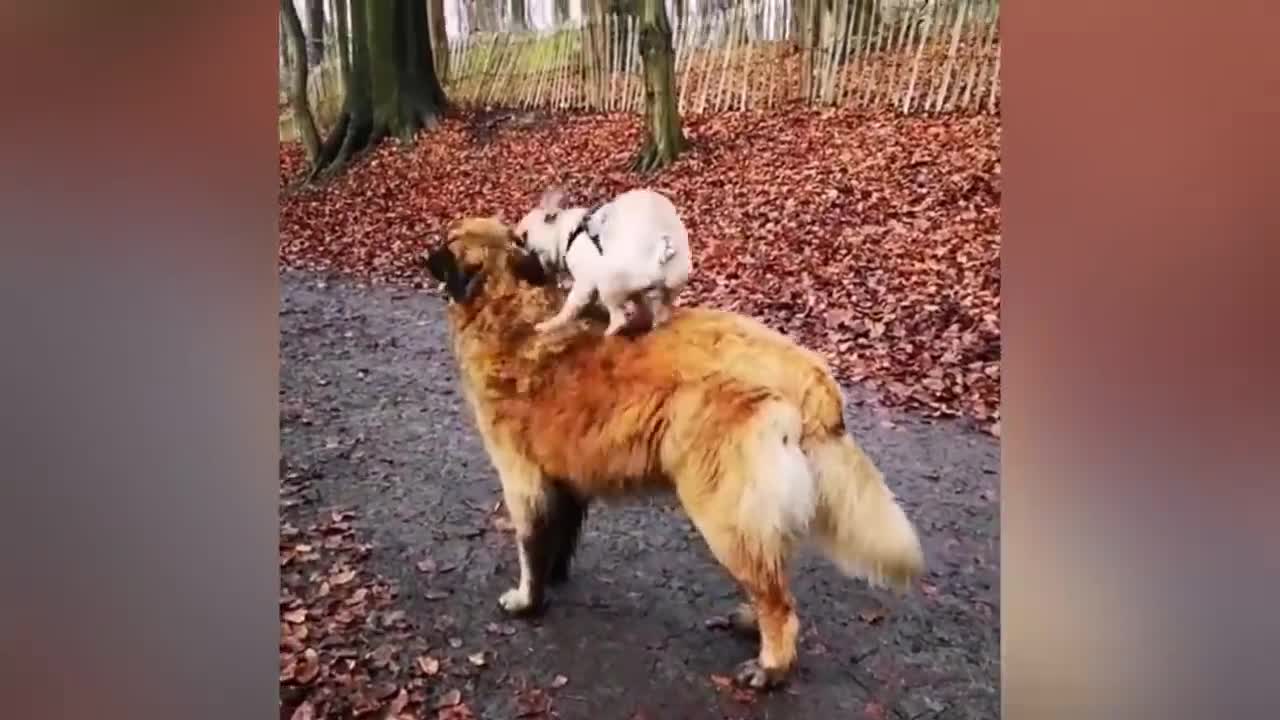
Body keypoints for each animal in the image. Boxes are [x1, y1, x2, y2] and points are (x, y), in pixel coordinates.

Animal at [424, 215, 926, 686]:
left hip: (722, 510)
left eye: (447, 245)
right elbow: (559, 539)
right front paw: (556, 577)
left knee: (780, 604)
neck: (509, 309)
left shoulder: (522, 480)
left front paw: (528, 600)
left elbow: (531, 547)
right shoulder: (565, 480)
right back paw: (751, 620)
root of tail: (809, 374)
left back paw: (770, 666)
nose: (424, 254)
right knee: (774, 575)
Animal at [512, 185, 696, 335]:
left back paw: (609, 333)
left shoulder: (585, 282)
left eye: (523, 237)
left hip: (608, 285)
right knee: (660, 313)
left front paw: (549, 325)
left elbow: (570, 306)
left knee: (619, 319)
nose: (514, 242)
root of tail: (662, 249)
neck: (568, 234)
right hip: (667, 287)